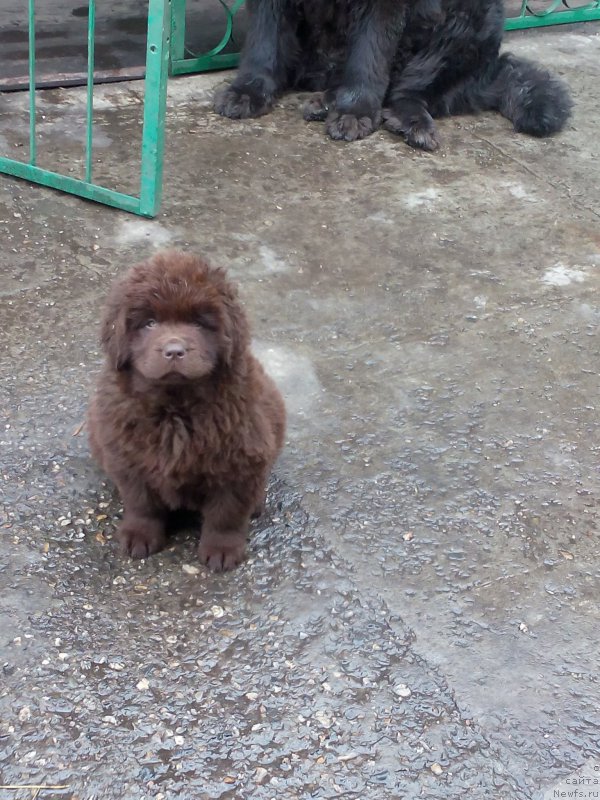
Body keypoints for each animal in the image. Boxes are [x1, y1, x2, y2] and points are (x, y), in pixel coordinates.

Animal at [88, 250, 288, 568]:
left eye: (198, 324)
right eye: (149, 323)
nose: (174, 350)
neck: (175, 407)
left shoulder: (241, 461)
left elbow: (226, 513)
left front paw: (222, 550)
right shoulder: (127, 457)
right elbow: (141, 503)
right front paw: (139, 535)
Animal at [216, 0, 572, 148]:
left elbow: (369, 54)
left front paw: (356, 110)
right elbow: (264, 41)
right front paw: (249, 90)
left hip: (470, 20)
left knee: (411, 90)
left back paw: (409, 122)